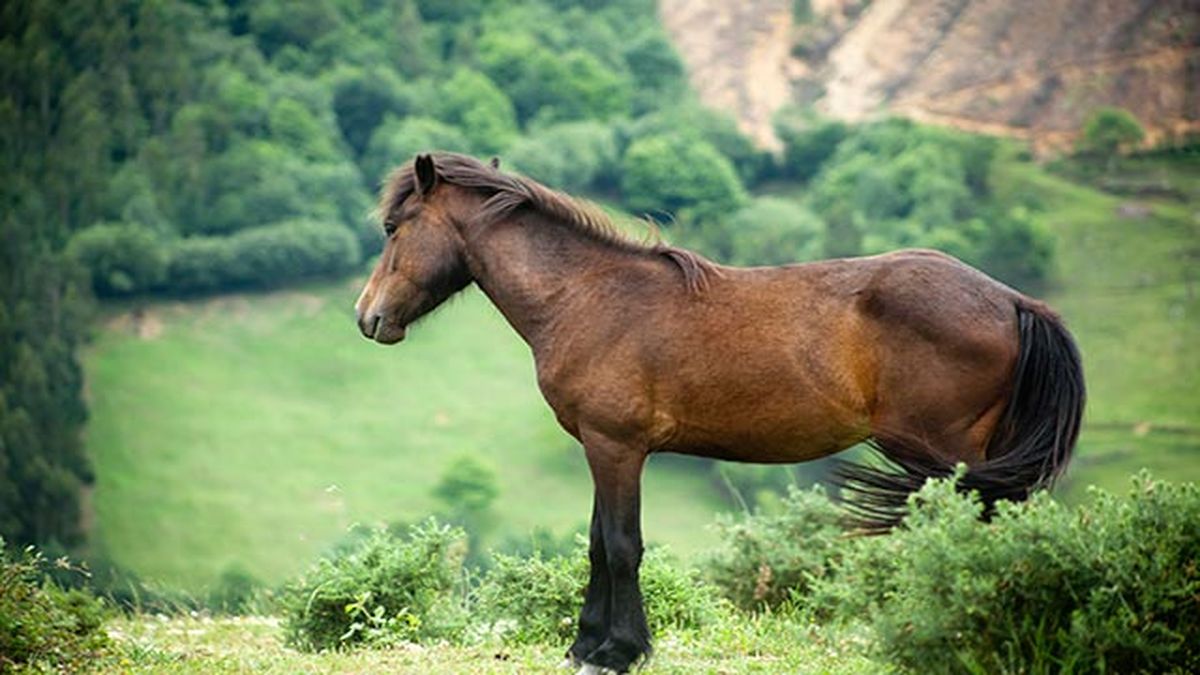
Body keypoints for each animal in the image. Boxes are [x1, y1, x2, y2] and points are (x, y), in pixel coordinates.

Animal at [354, 153, 1085, 674]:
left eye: (393, 228)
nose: (368, 318)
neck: (586, 296)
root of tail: (1014, 301)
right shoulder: (600, 446)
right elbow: (596, 542)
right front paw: (587, 646)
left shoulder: (616, 446)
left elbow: (620, 545)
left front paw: (619, 651)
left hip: (949, 455)